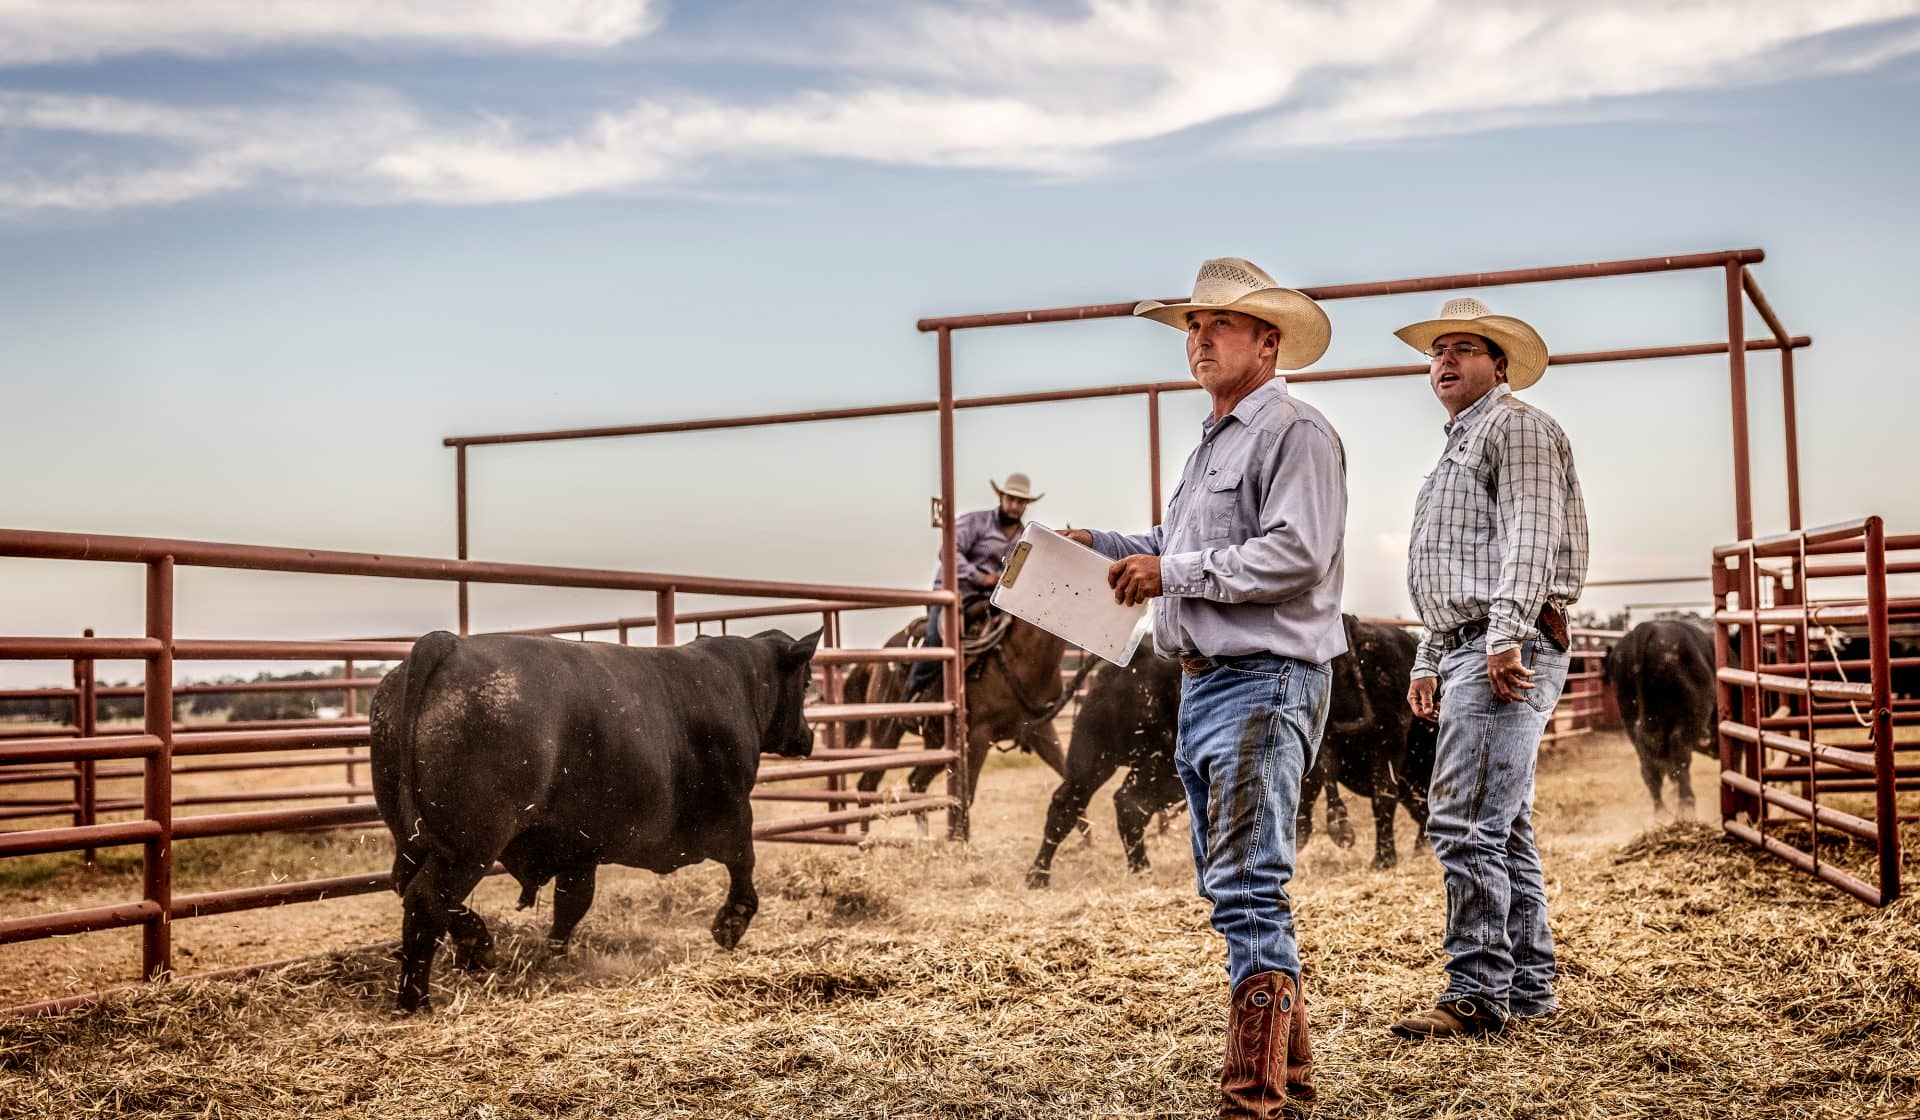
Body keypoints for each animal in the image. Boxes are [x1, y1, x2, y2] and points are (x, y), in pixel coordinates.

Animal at [370, 630, 821, 1014]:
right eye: (807, 682)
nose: (808, 737)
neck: (739, 681)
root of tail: (447, 643)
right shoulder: (733, 813)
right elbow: (745, 865)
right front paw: (731, 923)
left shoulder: (578, 849)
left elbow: (572, 904)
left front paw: (554, 957)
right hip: (470, 845)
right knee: (427, 899)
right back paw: (429, 988)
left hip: (419, 840)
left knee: (415, 896)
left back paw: (462, 958)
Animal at [1029, 618, 1436, 891]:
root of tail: (1141, 654)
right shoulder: (1385, 749)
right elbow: (1382, 799)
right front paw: (1383, 857)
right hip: (1141, 767)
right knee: (1112, 804)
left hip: (1110, 760)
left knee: (1088, 803)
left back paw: (1057, 873)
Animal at [1597, 618, 1720, 818]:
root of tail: (1646, 627)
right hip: (1689, 718)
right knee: (1680, 757)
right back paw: (1687, 809)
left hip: (1633, 722)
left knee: (1651, 769)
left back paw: (1661, 815)